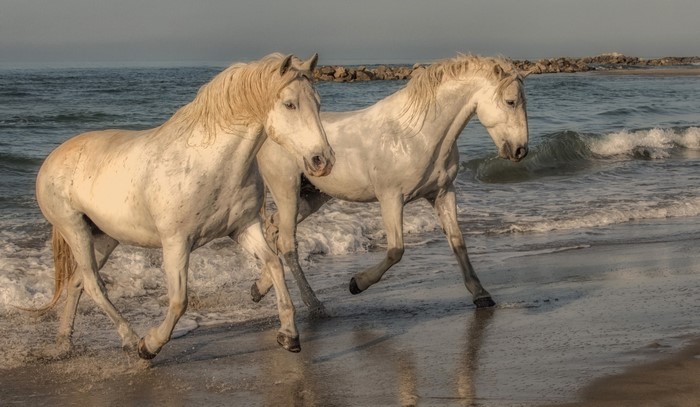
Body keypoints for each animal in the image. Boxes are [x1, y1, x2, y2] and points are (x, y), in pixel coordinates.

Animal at [34, 53, 335, 360]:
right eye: (290, 104)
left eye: (318, 102)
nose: (323, 160)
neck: (209, 164)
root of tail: (53, 158)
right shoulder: (175, 243)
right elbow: (179, 300)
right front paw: (150, 345)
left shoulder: (244, 228)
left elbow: (274, 264)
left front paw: (288, 335)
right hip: (75, 230)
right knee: (94, 285)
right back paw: (130, 339)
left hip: (105, 237)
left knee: (77, 282)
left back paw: (64, 343)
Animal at [256, 54, 529, 314]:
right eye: (511, 101)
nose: (520, 150)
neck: (417, 135)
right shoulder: (391, 199)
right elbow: (396, 250)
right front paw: (357, 283)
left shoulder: (442, 193)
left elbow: (458, 241)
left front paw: (481, 295)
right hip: (287, 192)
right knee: (287, 242)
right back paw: (313, 305)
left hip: (311, 197)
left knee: (275, 230)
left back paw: (258, 288)